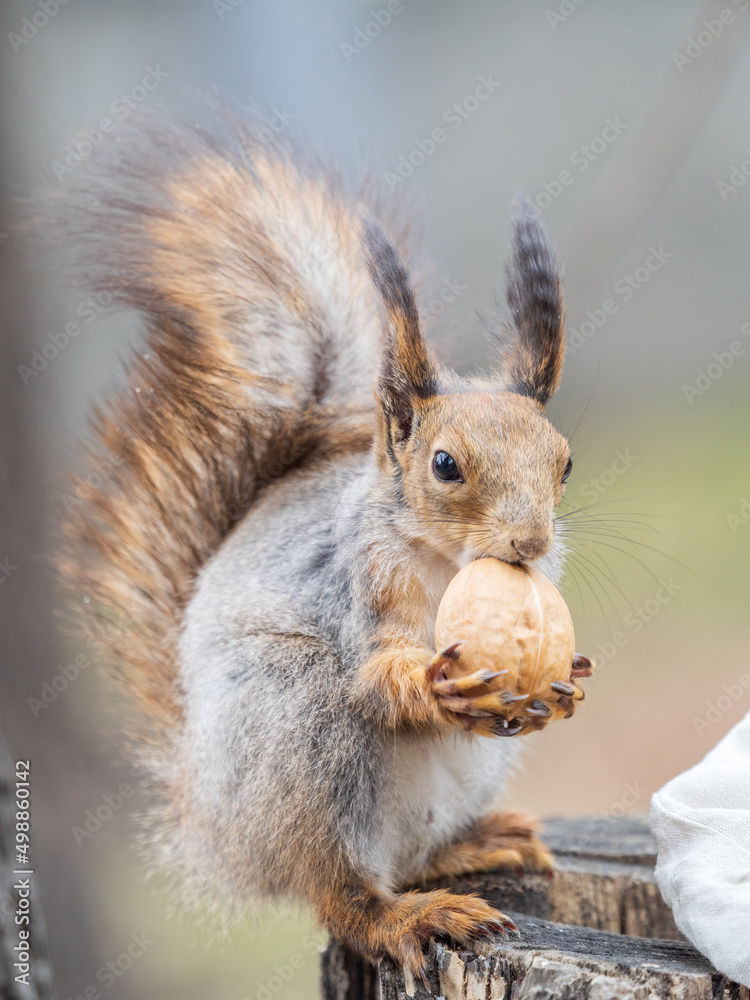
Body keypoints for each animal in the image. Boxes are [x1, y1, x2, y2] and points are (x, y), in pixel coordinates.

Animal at [57, 107, 593, 982]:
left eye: (565, 463)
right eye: (445, 465)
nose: (529, 541)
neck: (446, 563)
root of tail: (217, 837)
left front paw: (569, 680)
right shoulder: (360, 580)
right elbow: (378, 675)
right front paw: (433, 686)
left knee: (406, 856)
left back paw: (474, 847)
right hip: (296, 725)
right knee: (340, 894)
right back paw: (407, 916)